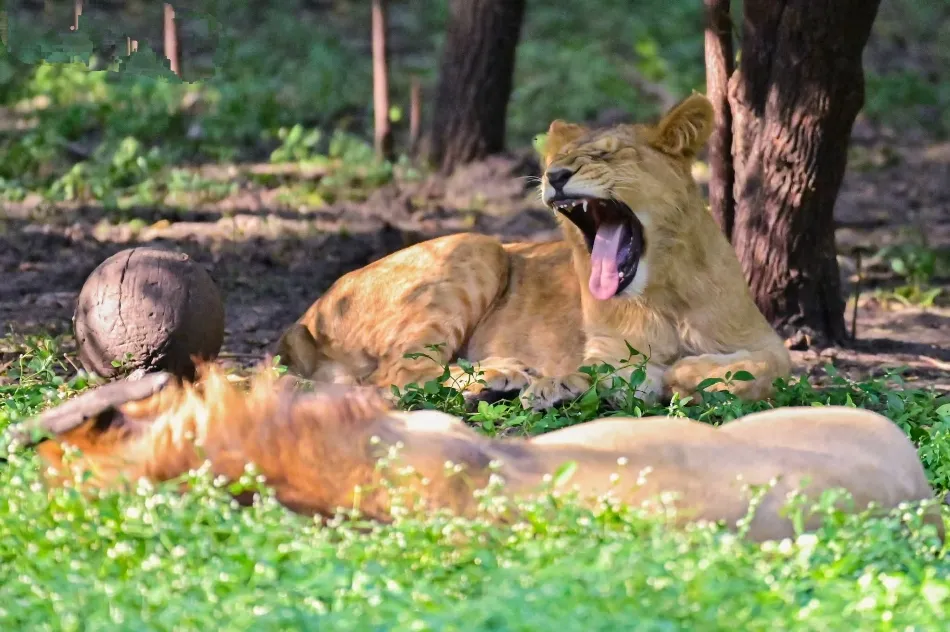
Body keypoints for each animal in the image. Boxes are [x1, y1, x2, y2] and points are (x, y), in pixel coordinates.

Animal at [277, 93, 791, 410]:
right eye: (555, 162)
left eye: (605, 155)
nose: (554, 175)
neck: (664, 290)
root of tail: (307, 317)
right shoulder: (607, 349)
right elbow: (602, 372)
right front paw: (565, 385)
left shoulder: (768, 340)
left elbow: (764, 366)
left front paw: (688, 375)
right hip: (477, 245)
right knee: (399, 379)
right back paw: (501, 379)